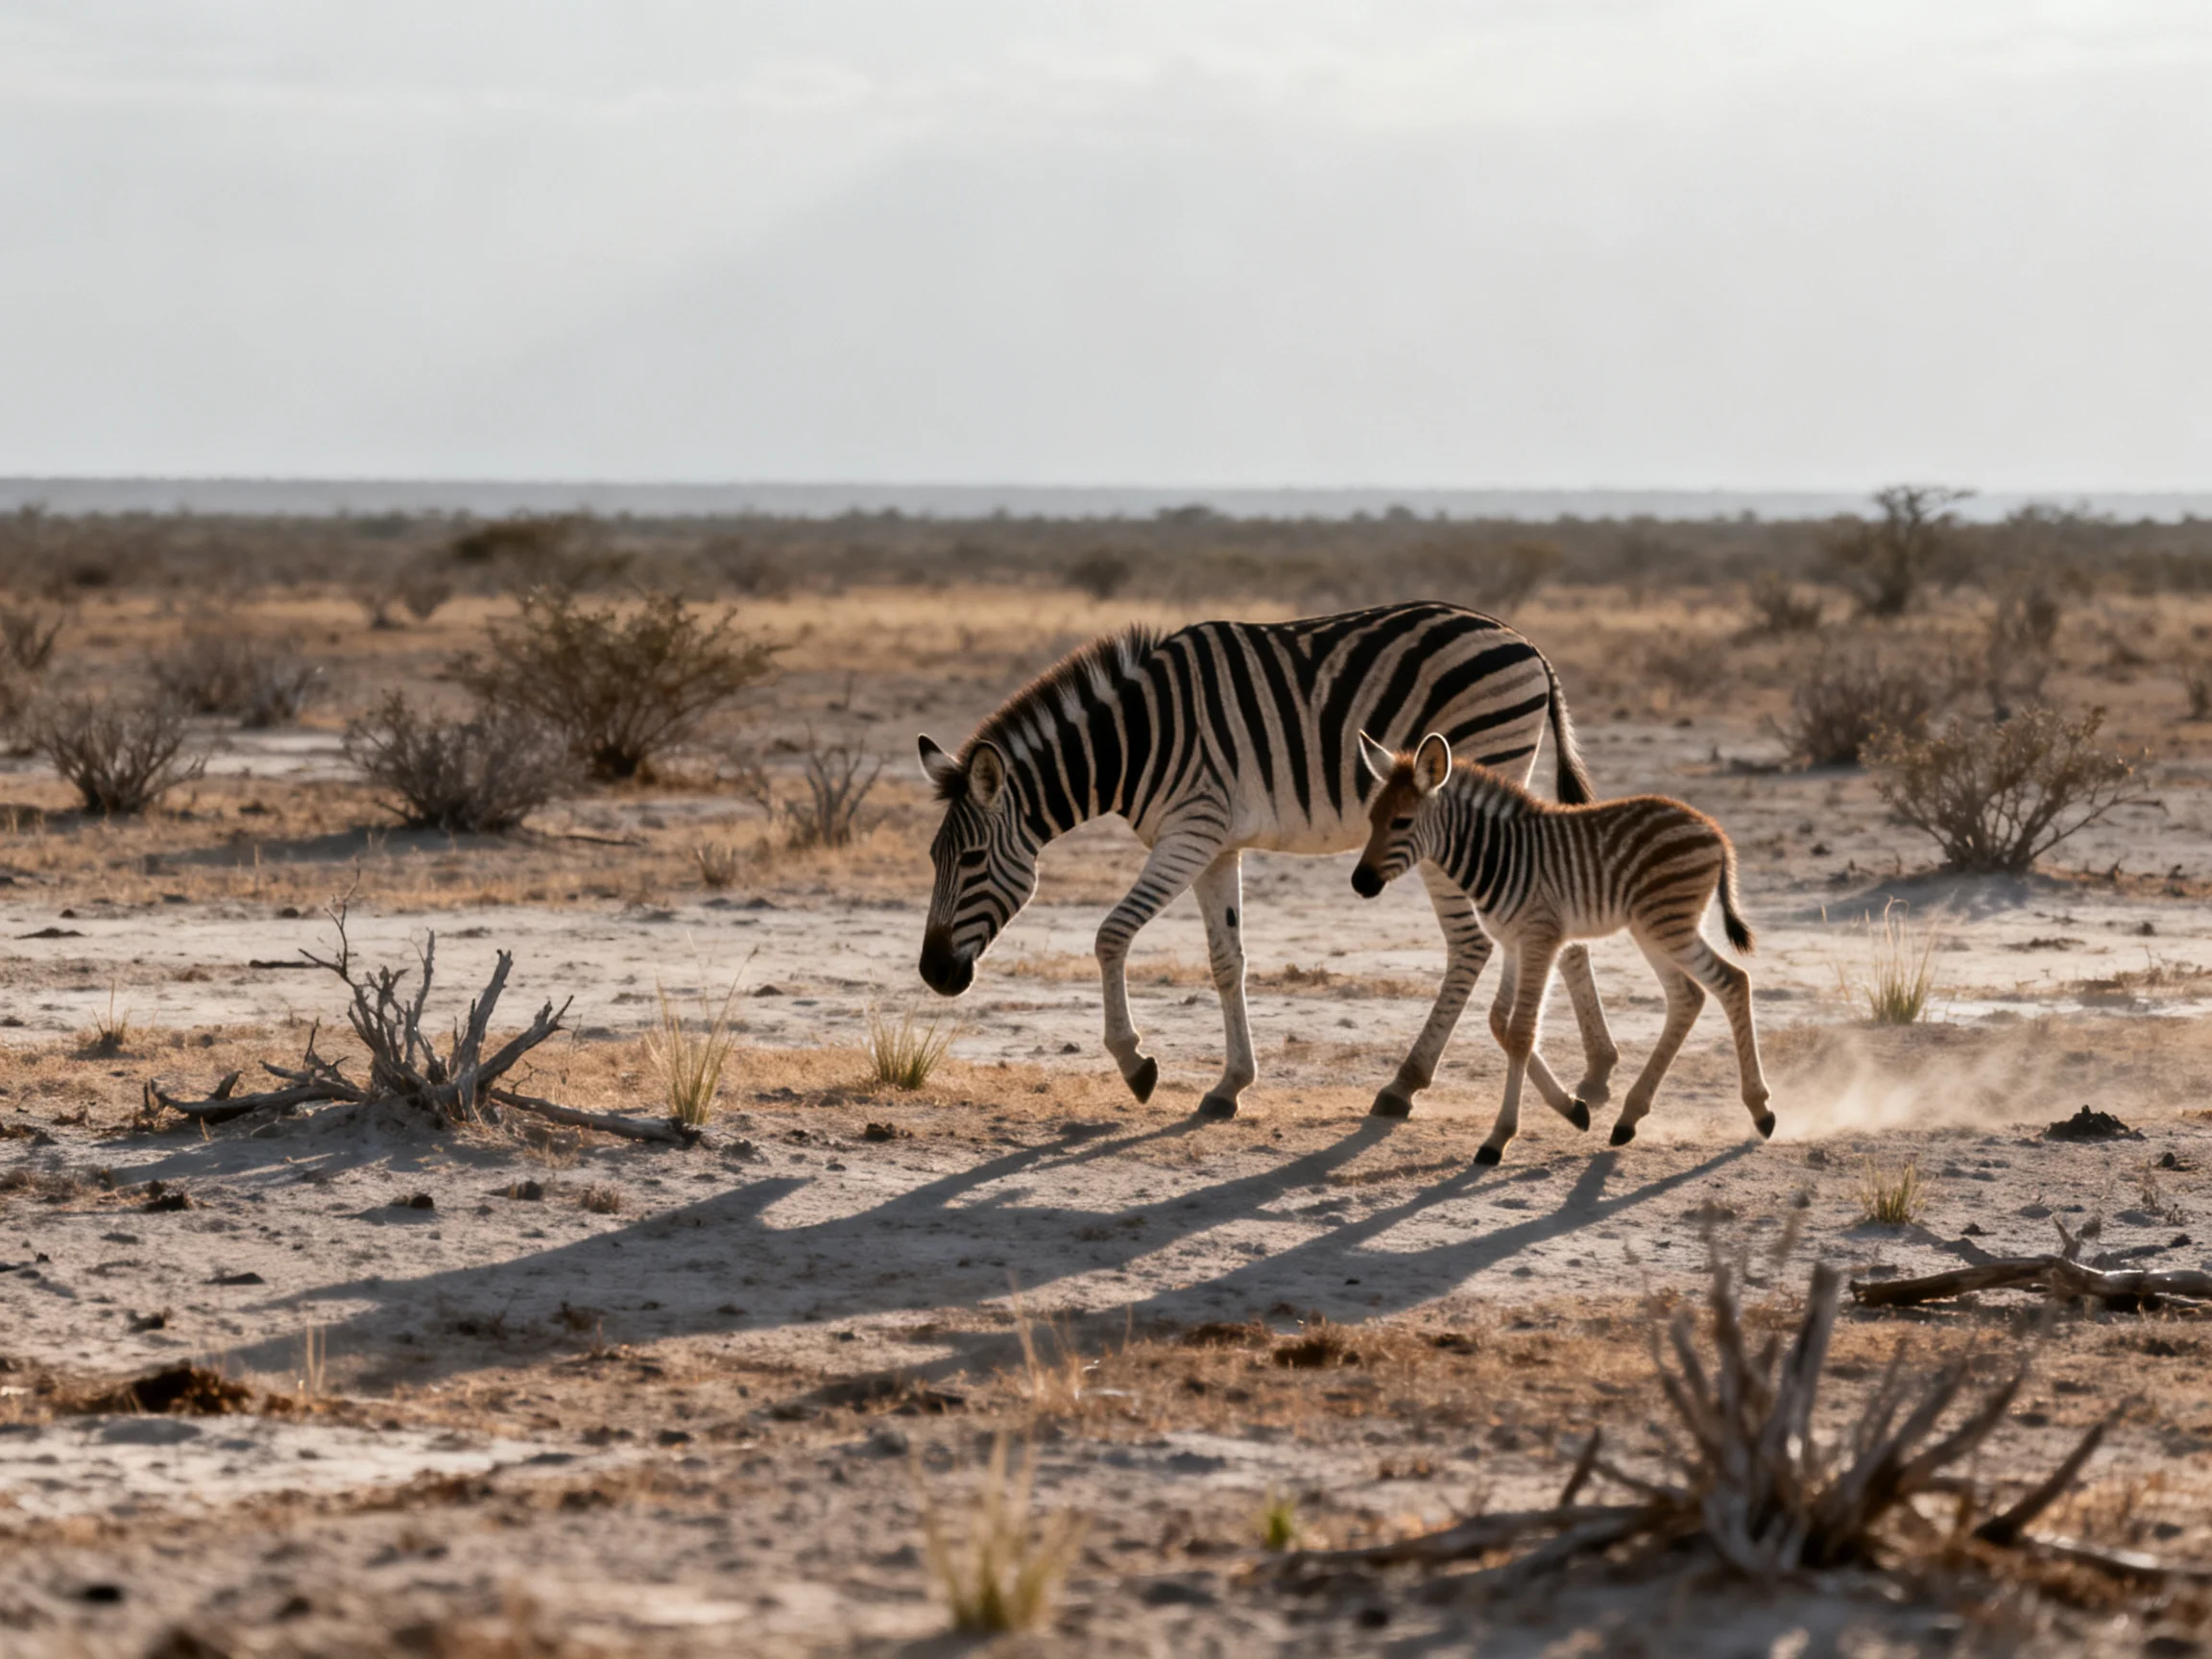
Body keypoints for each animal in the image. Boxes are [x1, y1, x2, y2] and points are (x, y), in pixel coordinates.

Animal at [915, 601, 1620, 1120]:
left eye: (972, 858)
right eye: (933, 857)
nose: (931, 973)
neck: (1135, 741)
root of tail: (1527, 645)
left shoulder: (1190, 831)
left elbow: (1111, 935)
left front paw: (1135, 1064)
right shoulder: (1215, 843)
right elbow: (1227, 960)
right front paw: (1230, 1084)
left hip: (1464, 797)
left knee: (1472, 944)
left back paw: (1406, 1084)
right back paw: (1597, 1073)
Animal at [1350, 730, 1773, 1164]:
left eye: (1402, 822)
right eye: (1372, 820)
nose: (1359, 883)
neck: (1496, 857)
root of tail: (1713, 830)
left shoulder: (1541, 937)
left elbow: (1521, 1032)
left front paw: (1499, 1137)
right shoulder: (1512, 943)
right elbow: (1500, 1023)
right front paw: (1571, 1108)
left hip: (1667, 925)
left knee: (1731, 981)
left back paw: (1759, 1110)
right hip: (1655, 929)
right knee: (1695, 994)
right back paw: (1632, 1117)